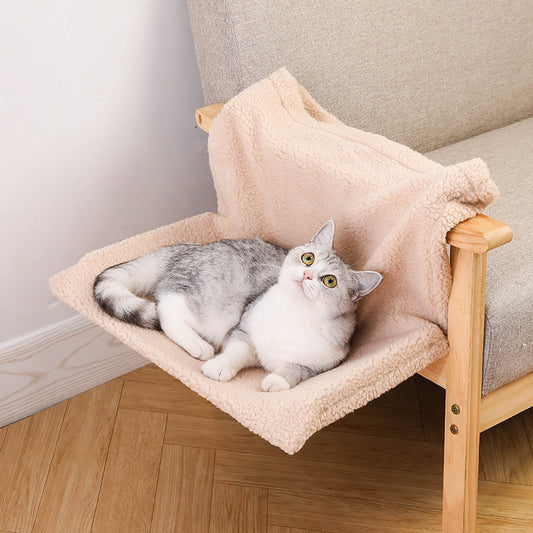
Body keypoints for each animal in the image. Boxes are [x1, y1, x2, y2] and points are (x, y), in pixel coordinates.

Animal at [93, 219, 380, 390]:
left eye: (330, 281)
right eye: (308, 258)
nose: (307, 275)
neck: (293, 314)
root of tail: (190, 248)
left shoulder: (322, 365)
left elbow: (294, 371)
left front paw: (276, 381)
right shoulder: (244, 330)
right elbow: (235, 352)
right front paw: (219, 367)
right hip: (207, 300)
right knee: (166, 312)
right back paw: (198, 346)